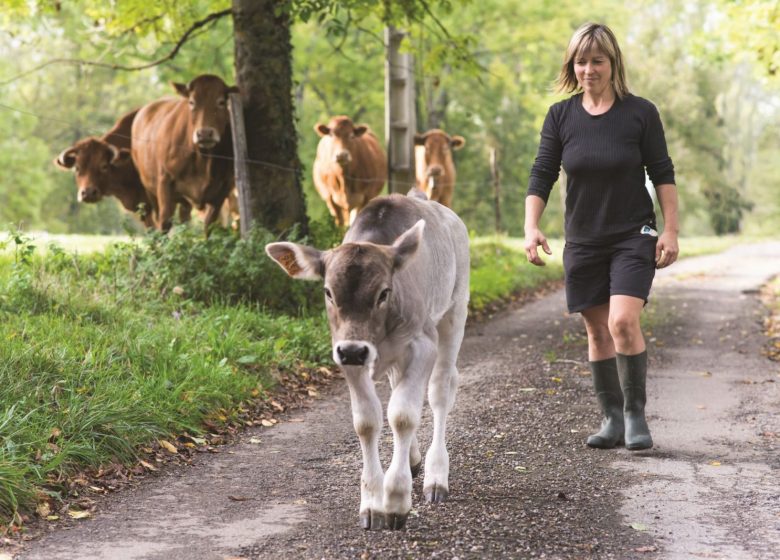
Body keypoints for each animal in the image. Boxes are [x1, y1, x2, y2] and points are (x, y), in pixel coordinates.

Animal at [132, 74, 238, 232]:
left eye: (221, 102)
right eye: (192, 102)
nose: (204, 133)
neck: (202, 159)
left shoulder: (224, 189)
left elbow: (210, 225)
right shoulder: (164, 182)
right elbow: (165, 222)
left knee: (185, 218)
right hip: (149, 188)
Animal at [266, 192, 470, 528]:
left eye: (383, 293)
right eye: (328, 292)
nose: (353, 351)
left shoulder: (422, 344)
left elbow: (403, 415)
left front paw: (397, 499)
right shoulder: (346, 355)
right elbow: (367, 421)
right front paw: (372, 503)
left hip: (455, 310)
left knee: (441, 389)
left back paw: (436, 476)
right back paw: (413, 460)